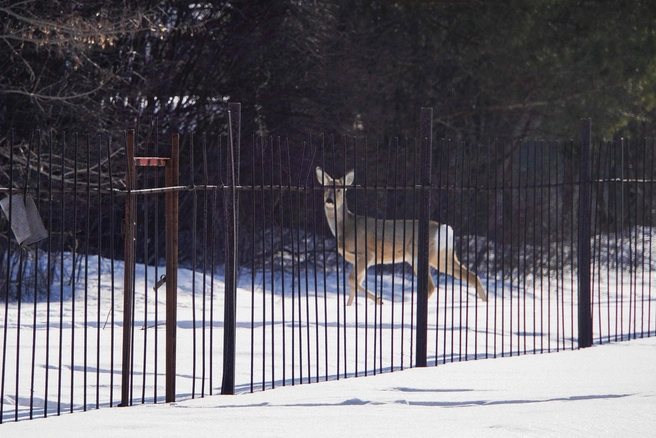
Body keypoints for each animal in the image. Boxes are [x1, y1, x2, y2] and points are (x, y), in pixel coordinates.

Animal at [316, 166, 490, 306]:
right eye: (325, 189)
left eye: (339, 189)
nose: (329, 200)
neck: (345, 228)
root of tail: (445, 229)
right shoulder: (359, 260)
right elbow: (353, 286)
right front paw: (350, 308)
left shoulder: (367, 254)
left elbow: (351, 280)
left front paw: (379, 300)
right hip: (441, 255)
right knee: (471, 276)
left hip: (422, 255)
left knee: (431, 286)